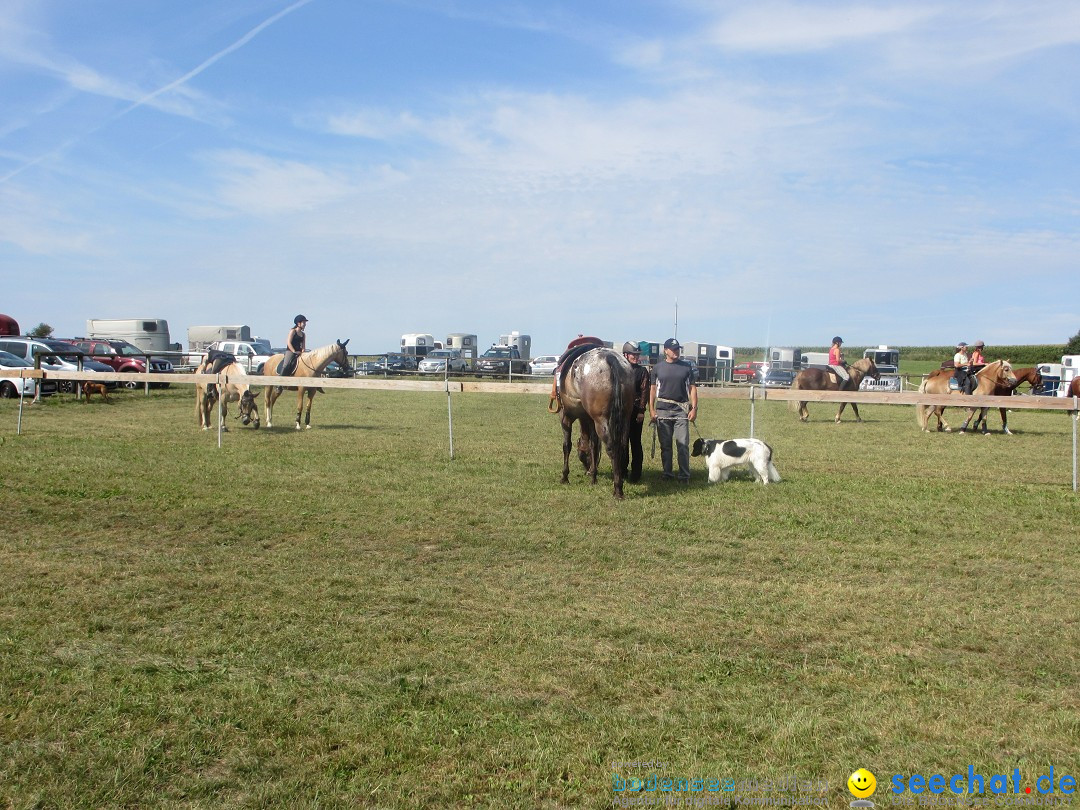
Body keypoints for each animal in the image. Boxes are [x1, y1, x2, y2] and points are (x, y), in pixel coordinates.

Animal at [557, 345, 630, 498]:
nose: (587, 469)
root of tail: (610, 358)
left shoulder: (566, 417)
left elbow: (567, 445)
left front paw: (565, 477)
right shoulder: (589, 420)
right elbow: (593, 446)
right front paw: (593, 478)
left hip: (601, 420)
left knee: (611, 448)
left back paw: (618, 489)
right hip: (625, 418)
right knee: (622, 446)